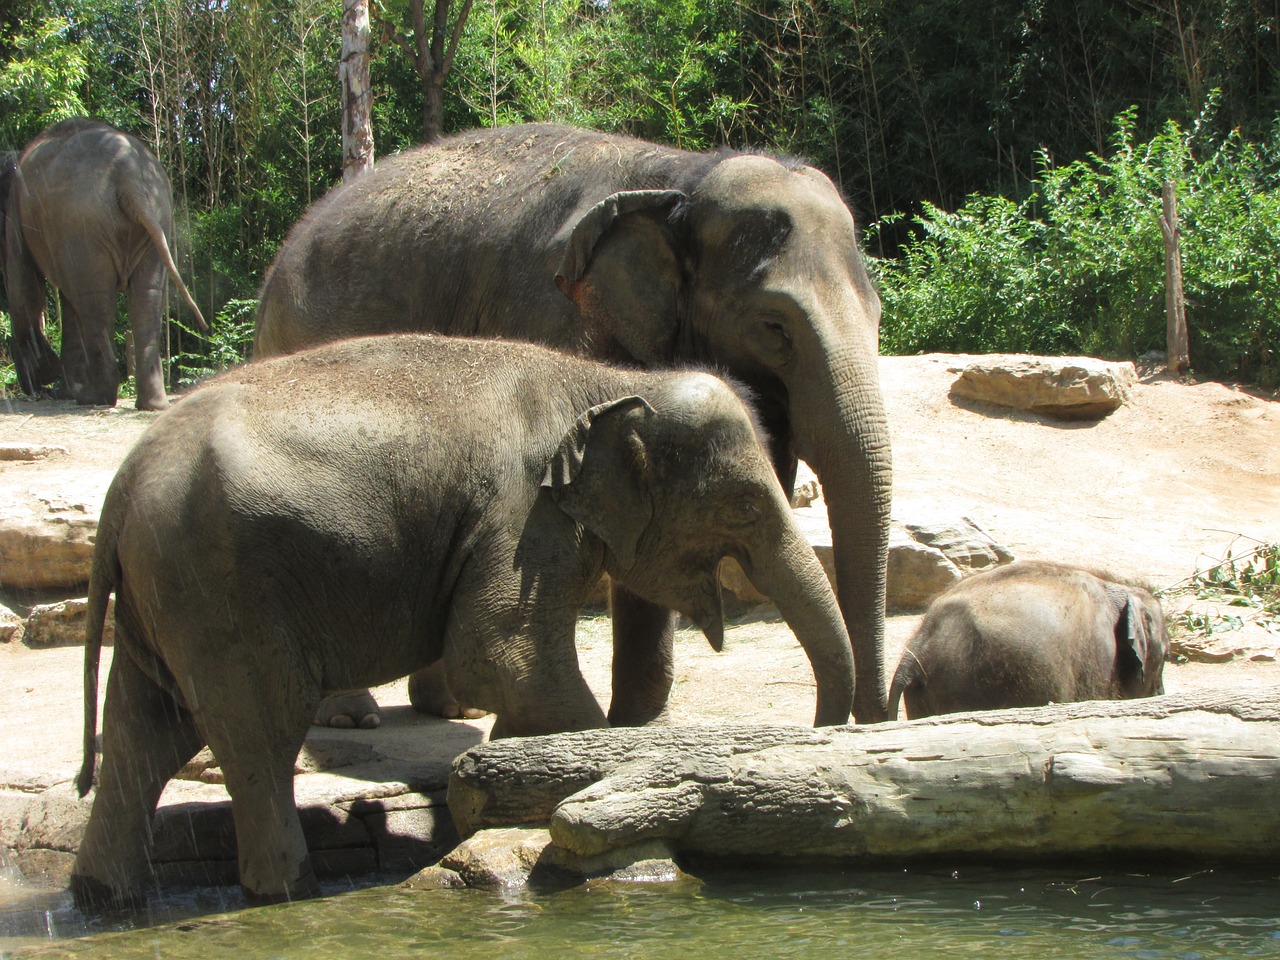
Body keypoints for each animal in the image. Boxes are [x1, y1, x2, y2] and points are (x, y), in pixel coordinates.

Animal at [0, 116, 204, 409]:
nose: (34, 388)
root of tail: (129, 176)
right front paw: (60, 387)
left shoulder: (15, 215)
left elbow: (23, 289)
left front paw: (49, 380)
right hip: (157, 219)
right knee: (146, 299)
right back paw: (152, 404)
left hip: (84, 227)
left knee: (95, 304)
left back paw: (95, 397)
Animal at [252, 122, 890, 721]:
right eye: (775, 327)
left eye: (880, 313)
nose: (872, 718)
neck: (682, 175)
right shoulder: (550, 308)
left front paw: (638, 724)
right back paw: (353, 718)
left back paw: (453, 709)